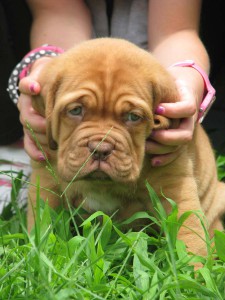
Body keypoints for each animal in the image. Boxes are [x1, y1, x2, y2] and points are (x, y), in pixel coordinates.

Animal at [29, 37, 225, 258]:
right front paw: (39, 253)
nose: (100, 149)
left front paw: (192, 266)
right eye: (76, 110)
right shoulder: (45, 181)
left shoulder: (173, 185)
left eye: (133, 117)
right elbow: (42, 223)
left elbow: (189, 233)